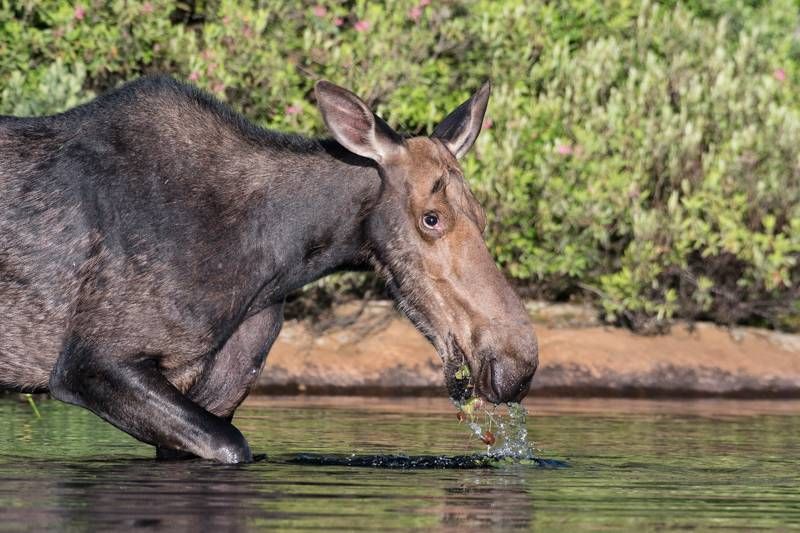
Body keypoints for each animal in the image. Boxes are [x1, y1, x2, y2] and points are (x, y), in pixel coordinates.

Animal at [0, 77, 540, 464]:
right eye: (431, 218)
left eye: (482, 216)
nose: (516, 363)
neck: (278, 260)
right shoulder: (92, 362)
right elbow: (233, 446)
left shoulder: (221, 384)